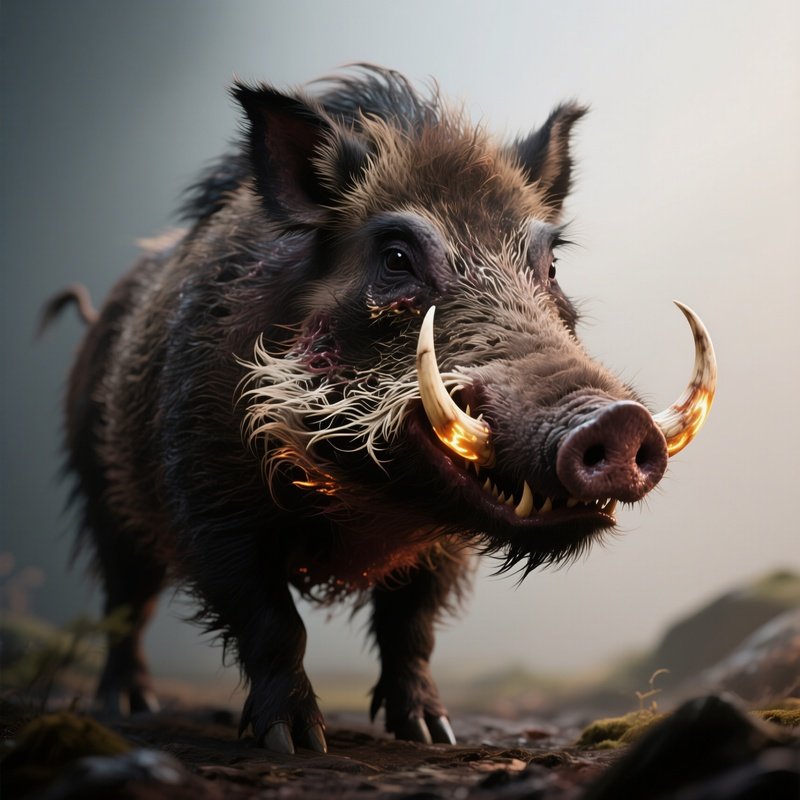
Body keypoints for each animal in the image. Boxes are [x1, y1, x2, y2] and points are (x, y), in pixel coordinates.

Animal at [48, 65, 716, 754]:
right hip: (104, 498)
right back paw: (129, 707)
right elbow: (273, 622)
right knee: (126, 603)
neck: (364, 499)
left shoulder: (443, 552)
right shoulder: (210, 500)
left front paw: (431, 734)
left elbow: (411, 628)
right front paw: (294, 743)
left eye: (551, 265)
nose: (616, 420)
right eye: (396, 258)